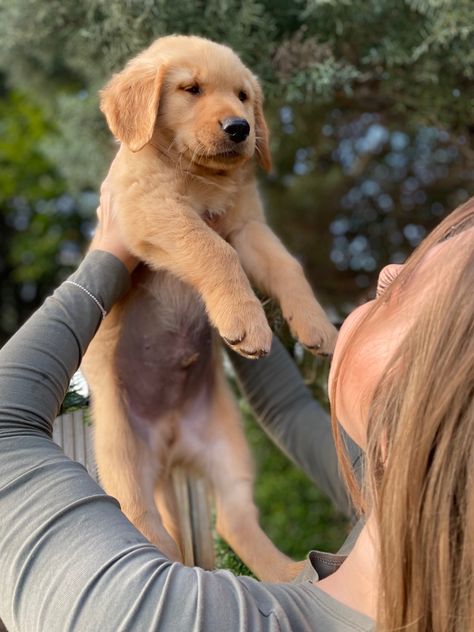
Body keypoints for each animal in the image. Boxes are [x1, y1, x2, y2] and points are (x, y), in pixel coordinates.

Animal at [83, 35, 338, 584]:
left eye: (243, 96)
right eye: (191, 89)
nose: (241, 128)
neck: (198, 175)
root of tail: (171, 445)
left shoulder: (248, 226)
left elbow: (287, 266)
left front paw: (316, 325)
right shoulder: (152, 208)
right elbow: (212, 250)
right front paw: (247, 322)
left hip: (229, 449)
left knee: (232, 521)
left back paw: (288, 572)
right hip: (120, 448)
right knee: (145, 522)